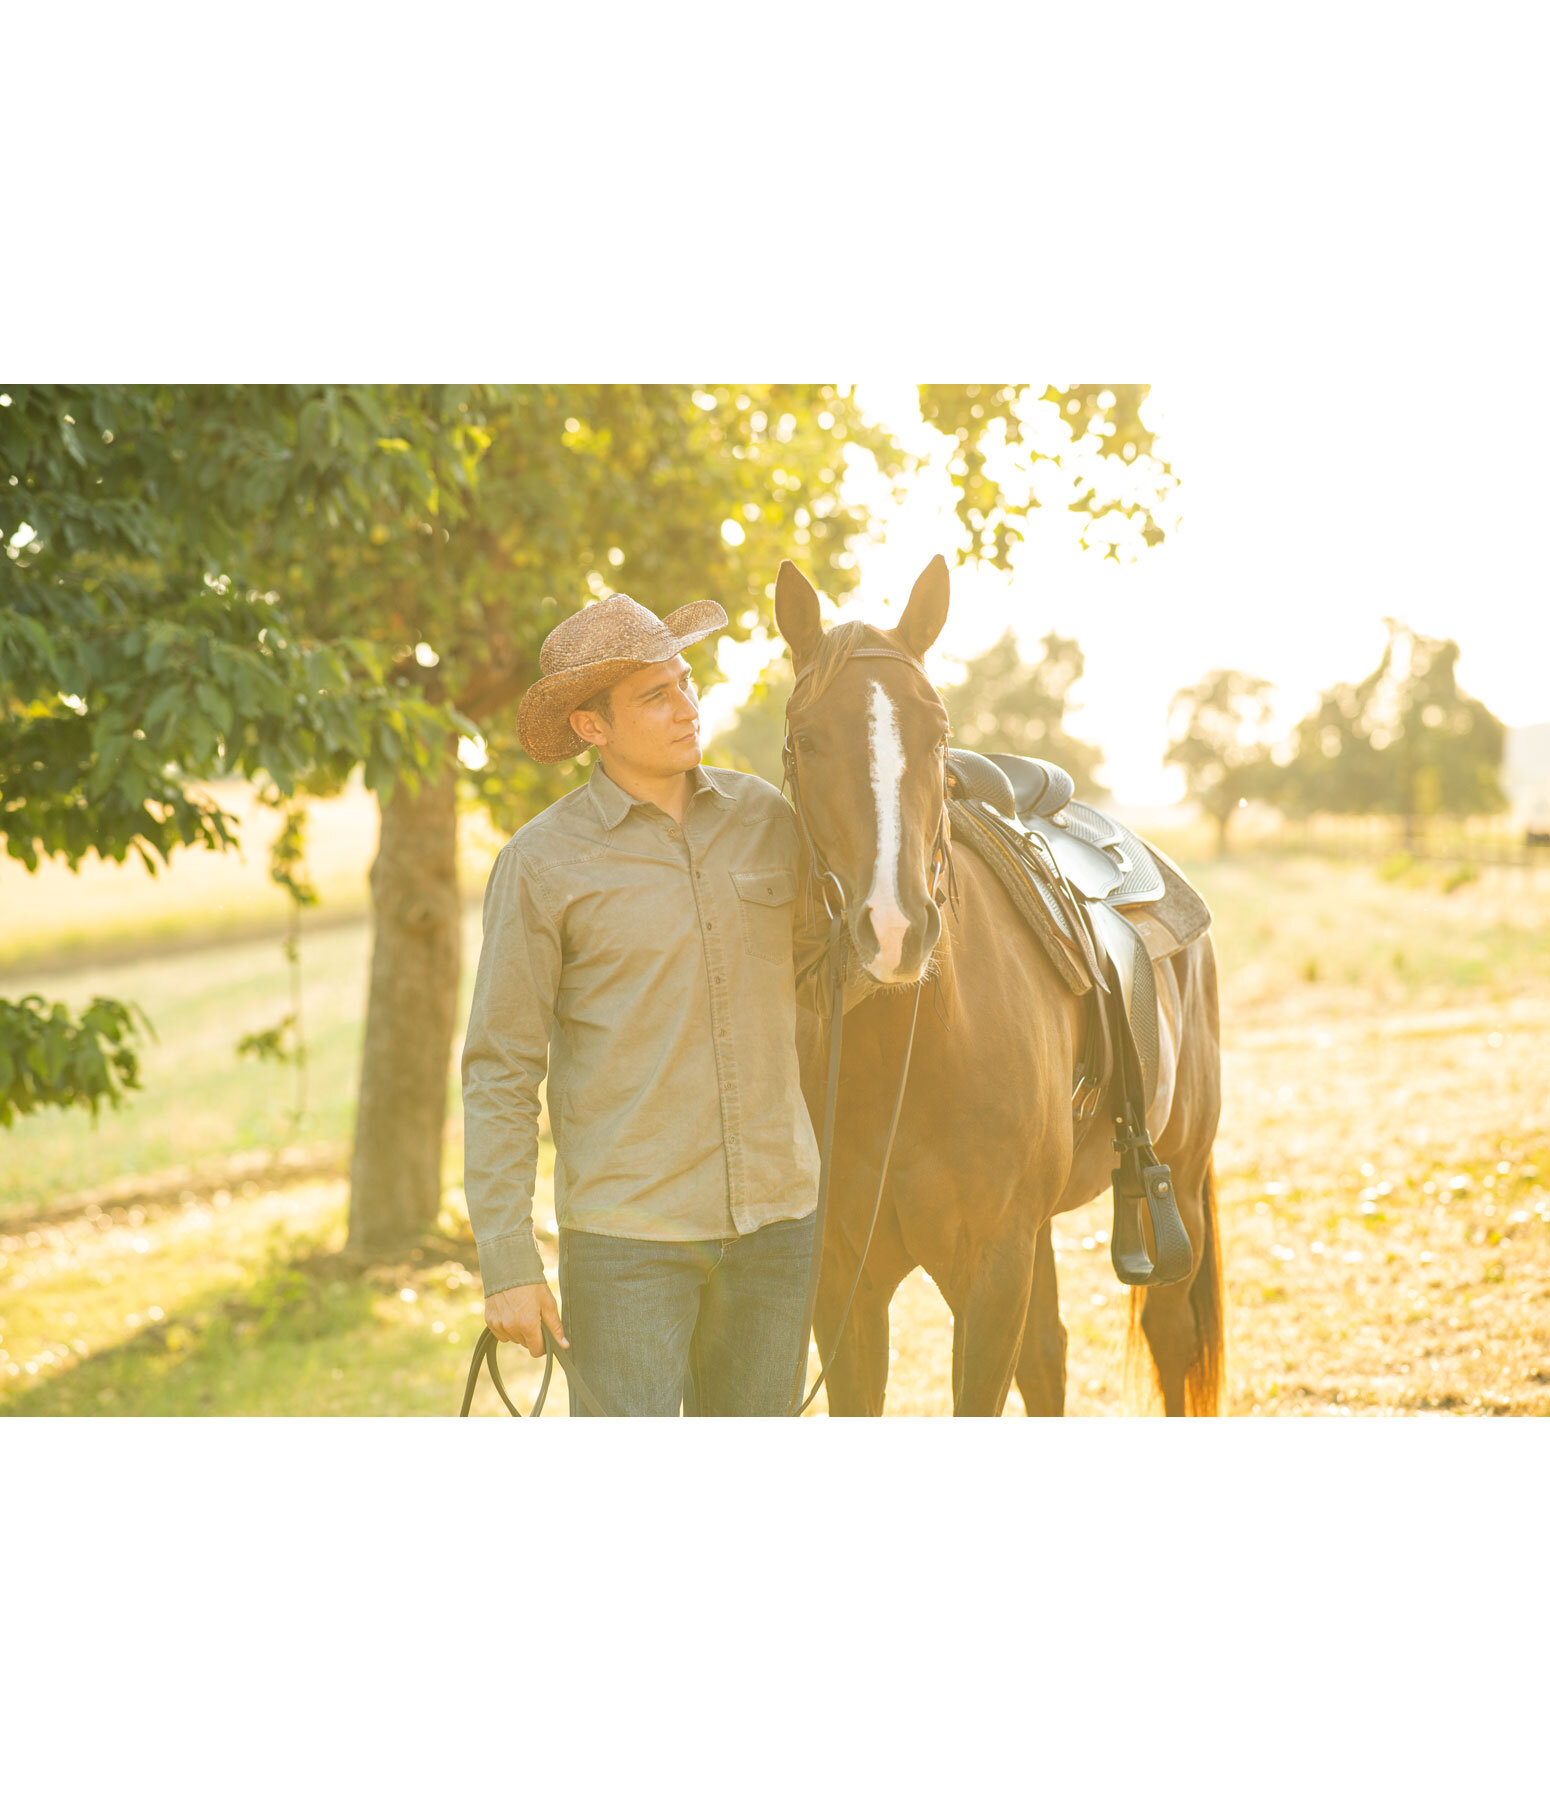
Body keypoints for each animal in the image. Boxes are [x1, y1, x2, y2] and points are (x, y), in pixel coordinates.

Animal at [781, 554, 1224, 1411]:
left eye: (938, 735)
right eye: (806, 739)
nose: (894, 927)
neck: (910, 1059)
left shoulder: (991, 1271)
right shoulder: (843, 1287)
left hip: (1176, 1188)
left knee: (1170, 1340)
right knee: (1048, 1358)